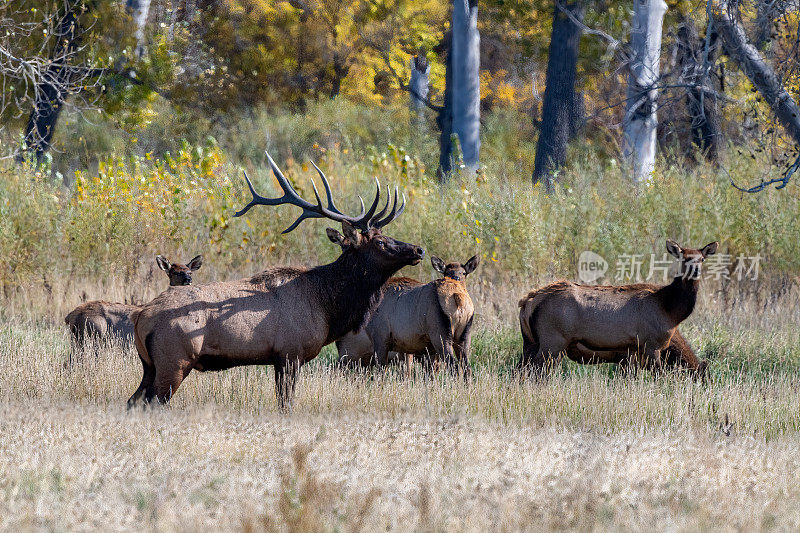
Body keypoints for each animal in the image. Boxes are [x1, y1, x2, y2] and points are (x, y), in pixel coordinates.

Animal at [65, 252, 203, 350]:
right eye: (175, 272)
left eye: (190, 272)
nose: (188, 279)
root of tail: (71, 316)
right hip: (92, 335)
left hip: (79, 340)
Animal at [126, 152, 424, 410]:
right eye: (380, 243)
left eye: (387, 236)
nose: (418, 250)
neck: (328, 308)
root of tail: (141, 317)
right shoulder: (290, 353)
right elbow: (286, 404)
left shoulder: (279, 359)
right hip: (174, 361)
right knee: (152, 403)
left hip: (149, 365)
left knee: (132, 401)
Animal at [334, 255, 478, 376]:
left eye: (464, 273)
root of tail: (458, 297)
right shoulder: (406, 346)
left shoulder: (380, 338)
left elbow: (382, 372)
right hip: (463, 337)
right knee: (467, 368)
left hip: (441, 336)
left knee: (454, 367)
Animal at [520, 239, 720, 372]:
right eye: (684, 258)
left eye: (702, 259)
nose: (695, 271)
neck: (670, 311)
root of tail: (528, 301)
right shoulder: (650, 345)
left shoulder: (630, 353)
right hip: (553, 339)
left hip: (530, 341)